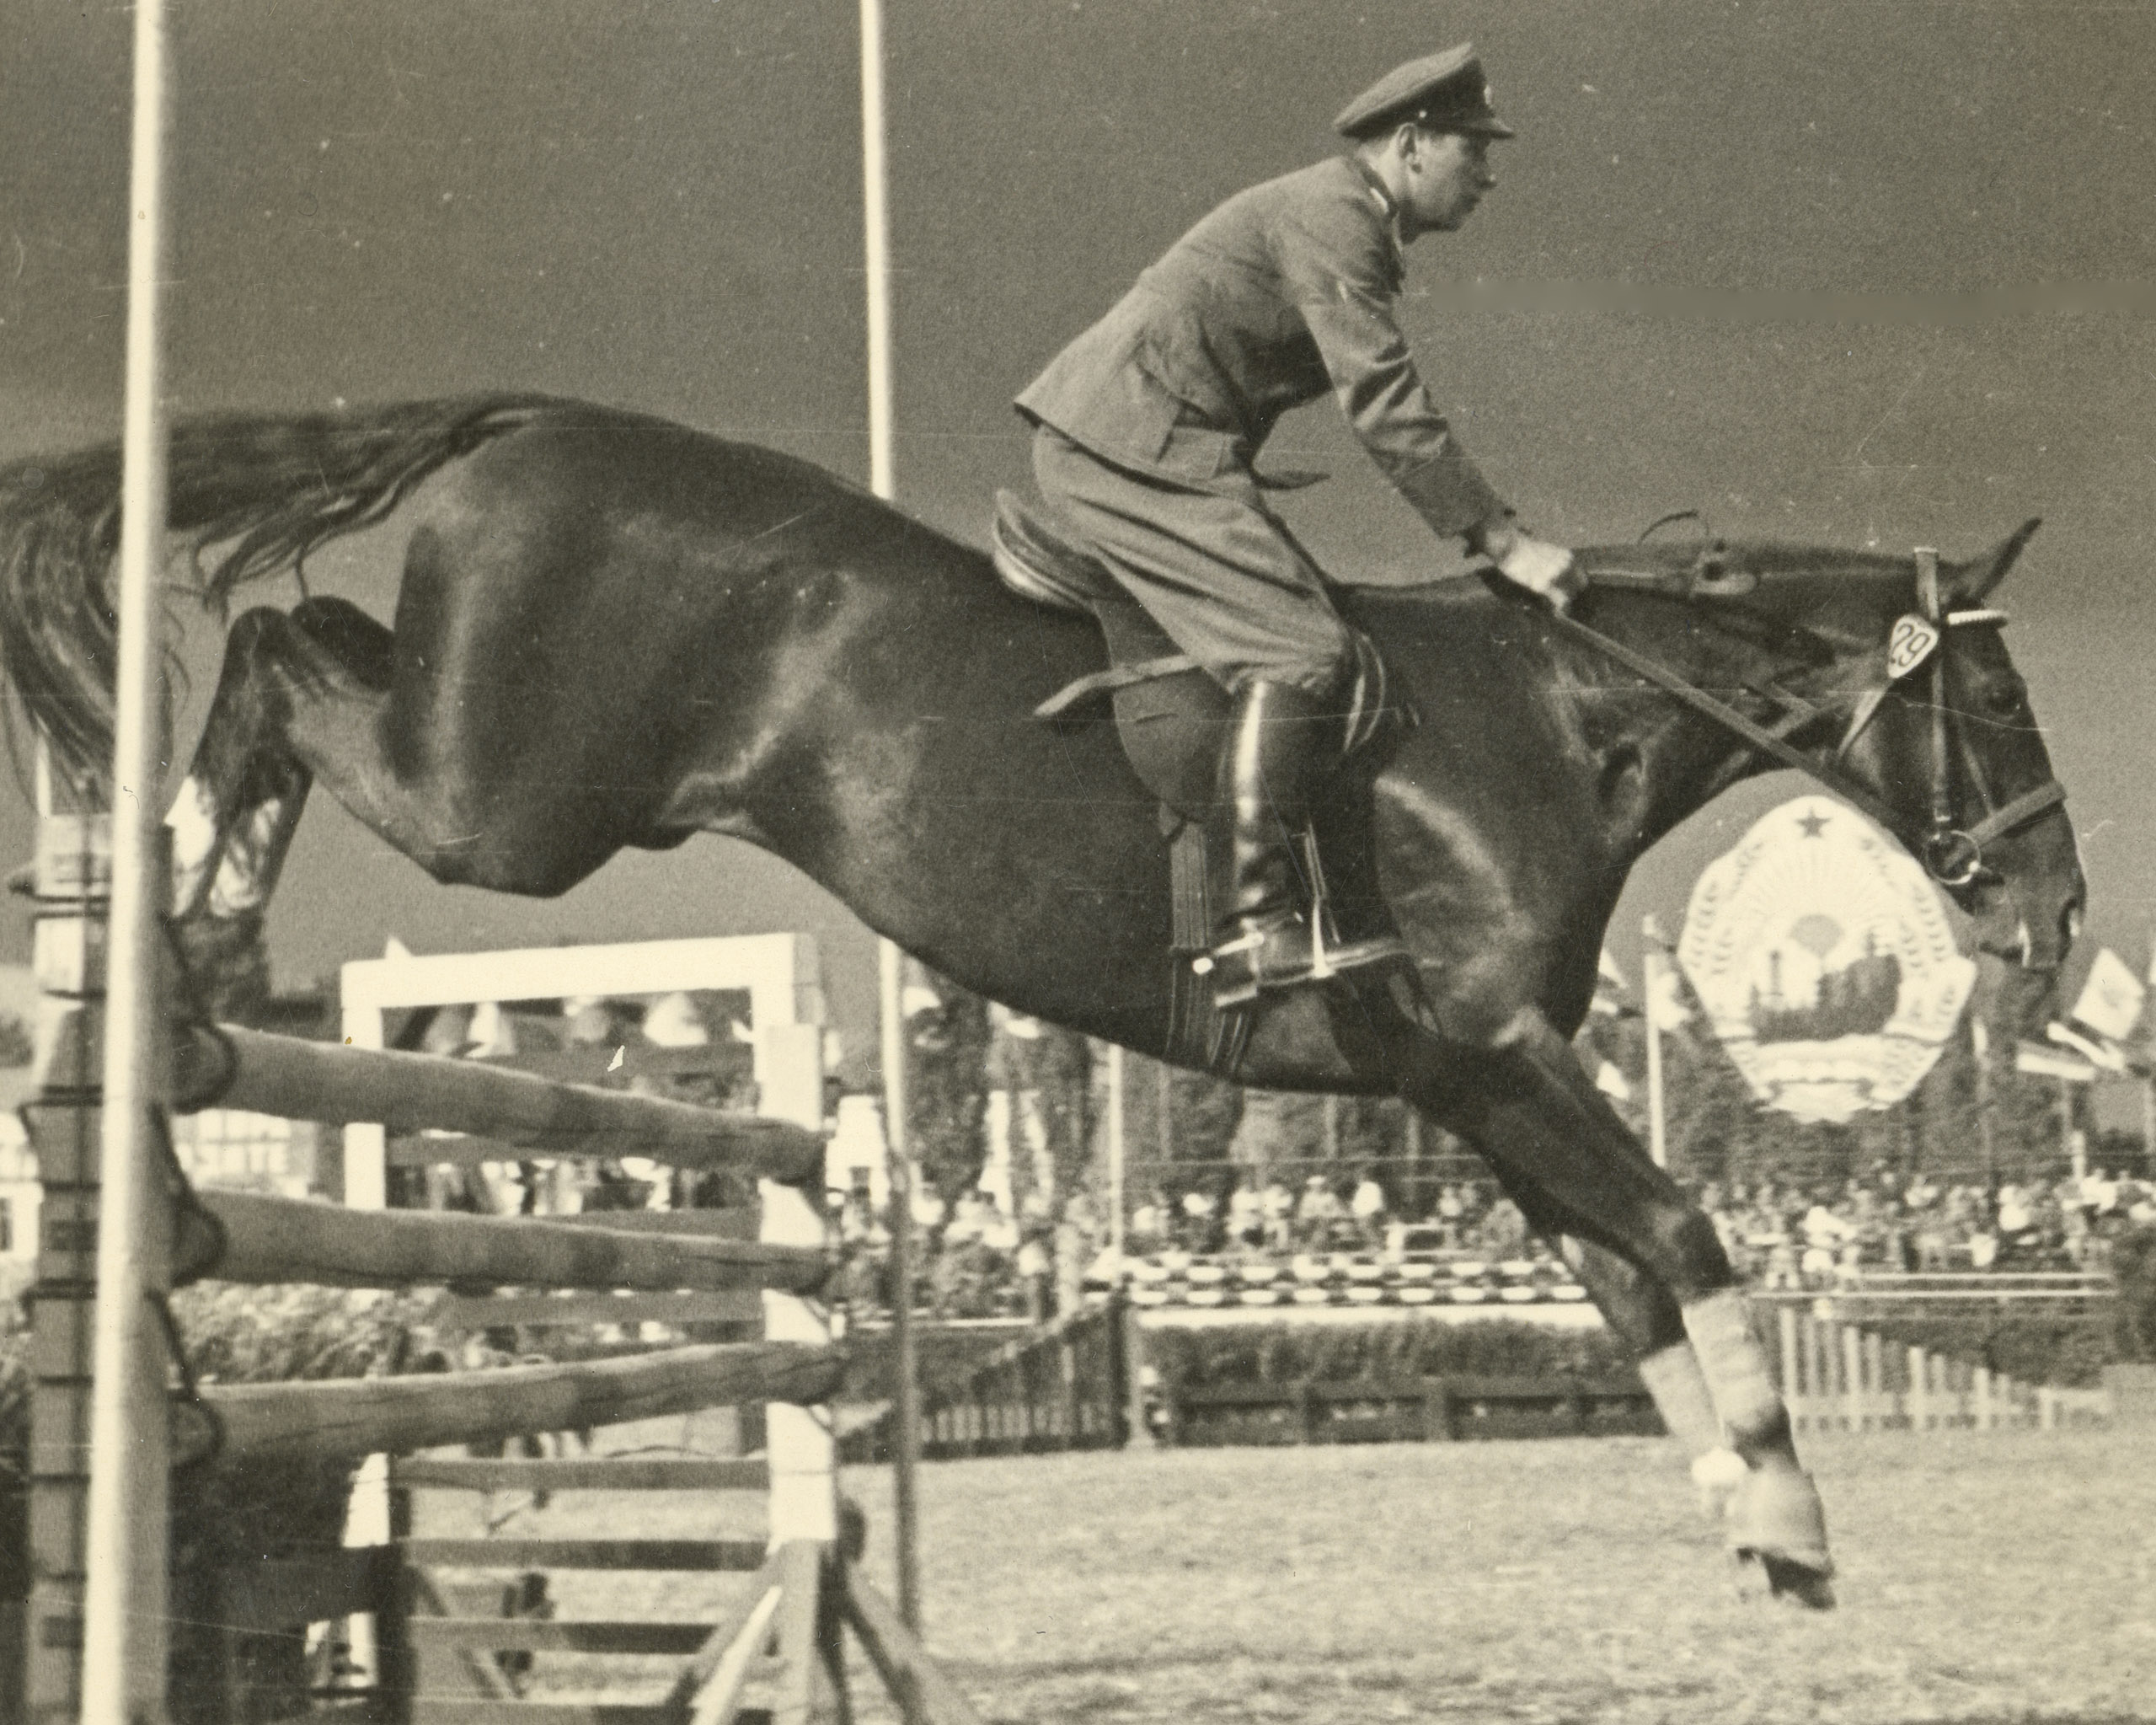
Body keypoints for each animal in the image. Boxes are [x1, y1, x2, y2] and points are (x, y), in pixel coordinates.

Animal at [3, 394, 2087, 1604]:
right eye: (1993, 699)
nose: (2057, 915)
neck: (1551, 722)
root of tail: (537, 423)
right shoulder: (1498, 1057)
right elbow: (1681, 1227)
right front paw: (1794, 1523)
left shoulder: (1466, 1085)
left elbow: (1630, 1277)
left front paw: (1752, 1520)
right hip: (504, 803)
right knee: (274, 655)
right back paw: (177, 909)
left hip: (504, 772)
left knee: (296, 638)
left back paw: (188, 932)